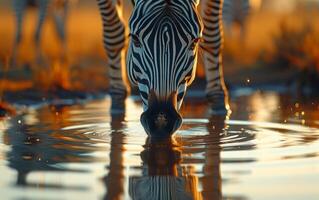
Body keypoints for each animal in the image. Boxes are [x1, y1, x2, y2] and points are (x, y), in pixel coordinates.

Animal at [97, 0, 230, 138]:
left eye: (194, 42)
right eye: (135, 39)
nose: (160, 122)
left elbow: (212, 37)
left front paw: (219, 103)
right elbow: (113, 35)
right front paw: (117, 103)